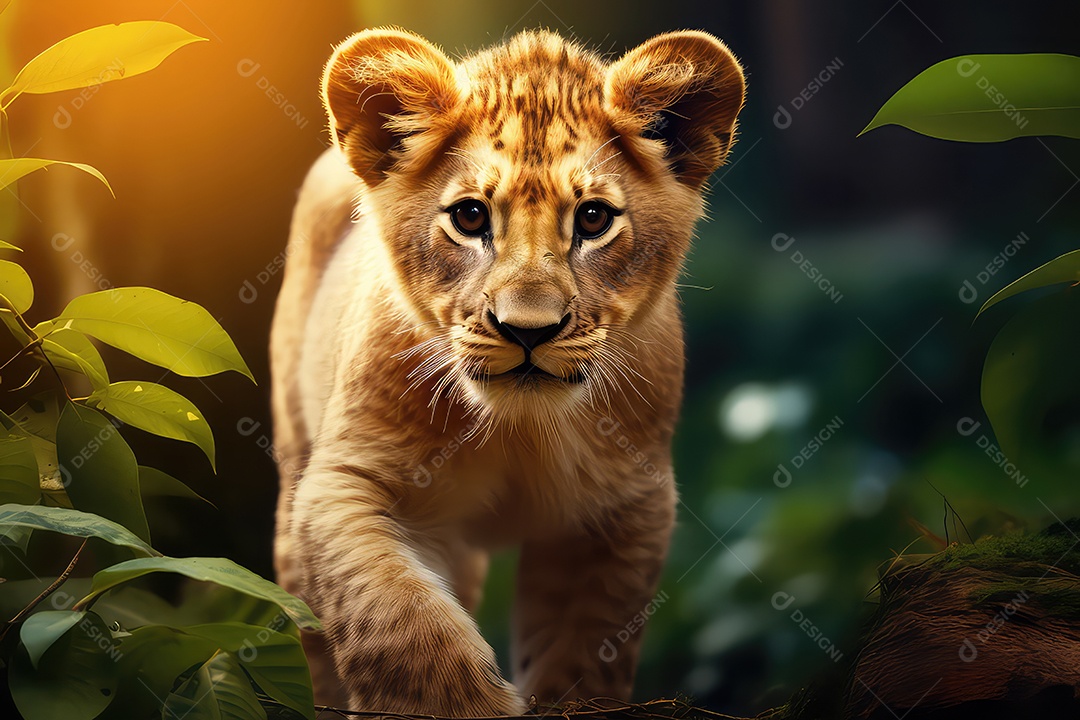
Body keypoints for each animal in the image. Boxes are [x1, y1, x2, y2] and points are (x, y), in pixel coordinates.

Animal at [270, 26, 745, 715]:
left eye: (594, 218)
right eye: (470, 217)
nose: (528, 330)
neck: (521, 428)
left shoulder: (625, 506)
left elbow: (587, 652)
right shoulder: (343, 482)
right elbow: (400, 622)